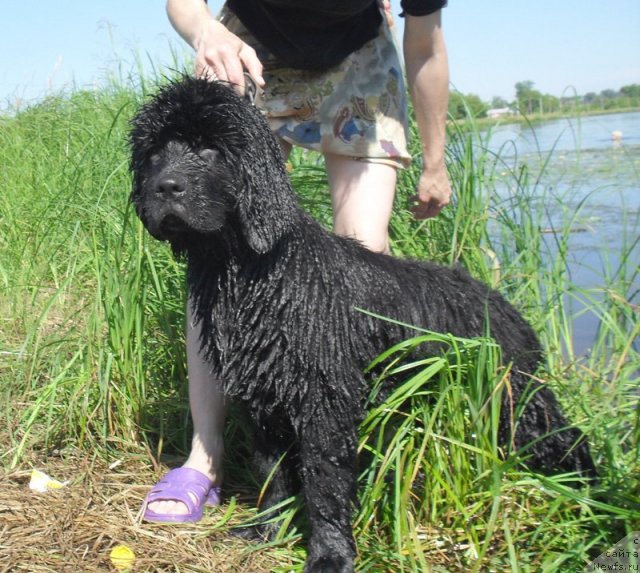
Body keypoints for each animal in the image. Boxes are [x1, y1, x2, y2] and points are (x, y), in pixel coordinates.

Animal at [130, 77, 596, 572]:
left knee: (566, 439)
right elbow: (271, 471)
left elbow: (325, 483)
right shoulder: (264, 400)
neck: (256, 275)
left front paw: (330, 554)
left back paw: (594, 499)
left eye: (210, 148)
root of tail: (506, 307)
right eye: (155, 152)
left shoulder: (325, 401)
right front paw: (266, 529)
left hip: (516, 397)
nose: (165, 187)